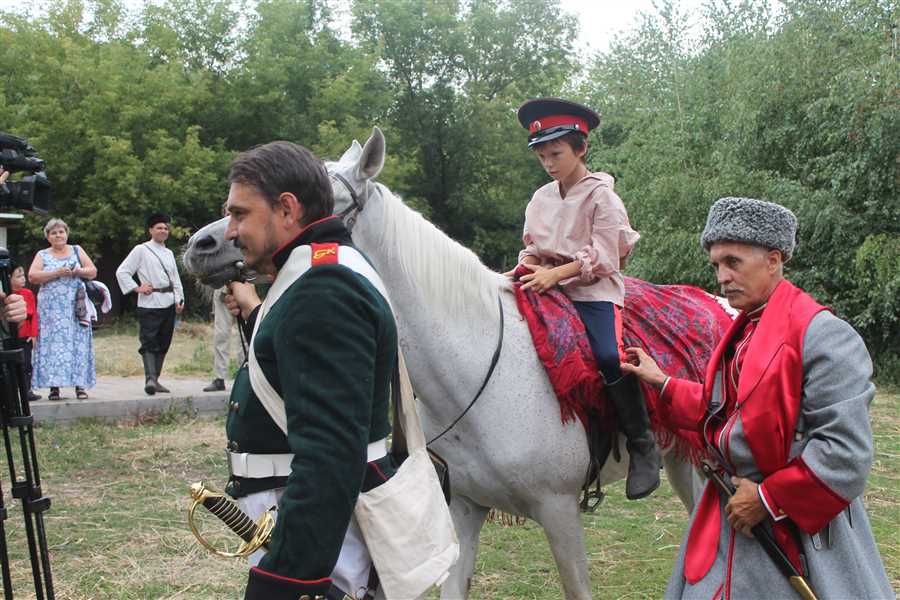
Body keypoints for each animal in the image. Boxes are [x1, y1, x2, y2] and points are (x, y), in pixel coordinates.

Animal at [185, 127, 704, 600]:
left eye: (324, 196)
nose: (201, 245)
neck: (478, 367)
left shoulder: (559, 512)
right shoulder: (465, 506)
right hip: (682, 461)